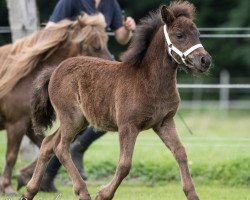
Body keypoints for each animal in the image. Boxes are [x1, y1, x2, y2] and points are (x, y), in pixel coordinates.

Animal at [0, 13, 112, 195]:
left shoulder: (28, 126)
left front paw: (26, 177)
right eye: (96, 47)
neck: (21, 79)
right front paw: (7, 186)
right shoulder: (16, 125)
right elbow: (11, 156)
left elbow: (44, 146)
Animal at [23, 1, 211, 200]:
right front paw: (103, 194)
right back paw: (82, 191)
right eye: (179, 35)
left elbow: (181, 152)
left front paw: (192, 194)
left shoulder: (164, 122)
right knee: (60, 148)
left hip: (80, 120)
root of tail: (54, 70)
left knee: (48, 143)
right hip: (71, 118)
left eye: (197, 34)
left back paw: (29, 191)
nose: (205, 60)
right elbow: (124, 164)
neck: (149, 80)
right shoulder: (128, 125)